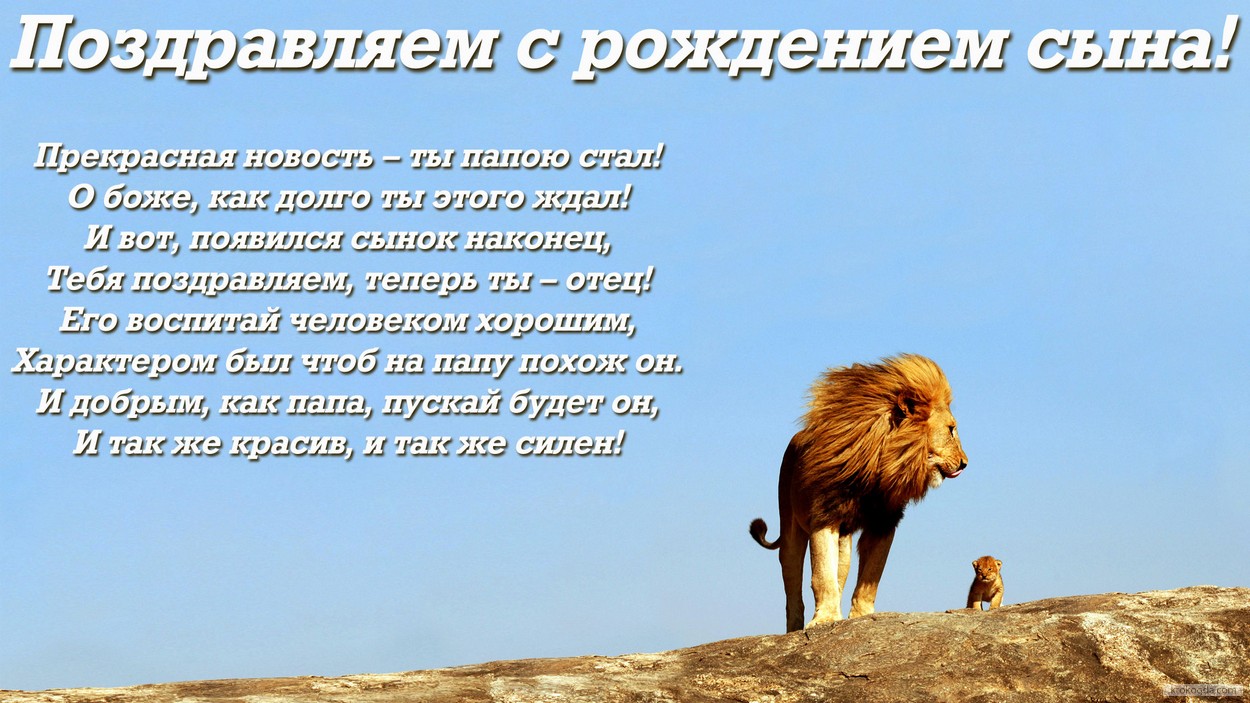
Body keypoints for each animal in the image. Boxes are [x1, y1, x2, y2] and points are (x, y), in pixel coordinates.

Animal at [750, 354, 968, 631]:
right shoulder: (824, 516)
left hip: (844, 543)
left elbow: (870, 578)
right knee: (793, 585)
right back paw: (795, 628)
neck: (879, 464)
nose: (965, 463)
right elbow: (821, 575)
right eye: (951, 429)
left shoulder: (884, 522)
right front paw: (825, 619)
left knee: (840, 574)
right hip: (790, 528)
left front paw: (861, 617)